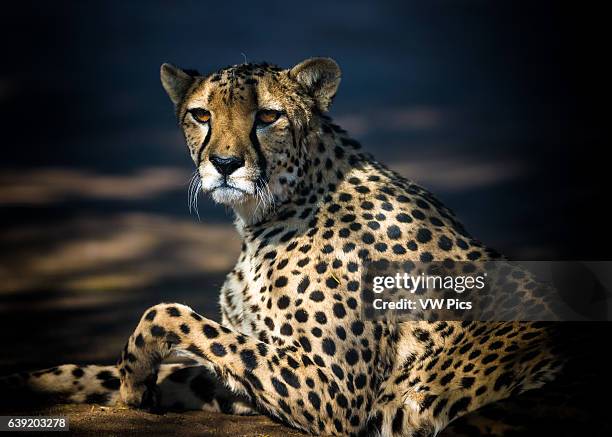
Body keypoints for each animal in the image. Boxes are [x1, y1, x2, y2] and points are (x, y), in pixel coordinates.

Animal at [0, 58, 564, 436]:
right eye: (201, 115)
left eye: (268, 117)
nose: (225, 164)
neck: (271, 211)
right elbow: (165, 362)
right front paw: (33, 378)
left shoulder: (333, 393)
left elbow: (166, 313)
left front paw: (134, 381)